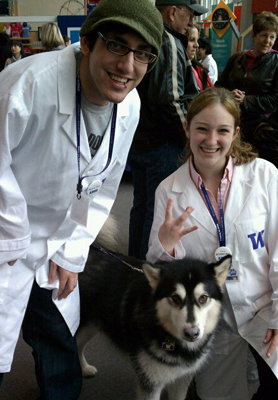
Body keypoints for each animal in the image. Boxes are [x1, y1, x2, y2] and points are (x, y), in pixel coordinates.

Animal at [77, 247, 231, 400]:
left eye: (203, 298)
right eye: (175, 297)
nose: (192, 333)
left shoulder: (182, 379)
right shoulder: (150, 382)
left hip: (90, 327)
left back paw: (84, 368)